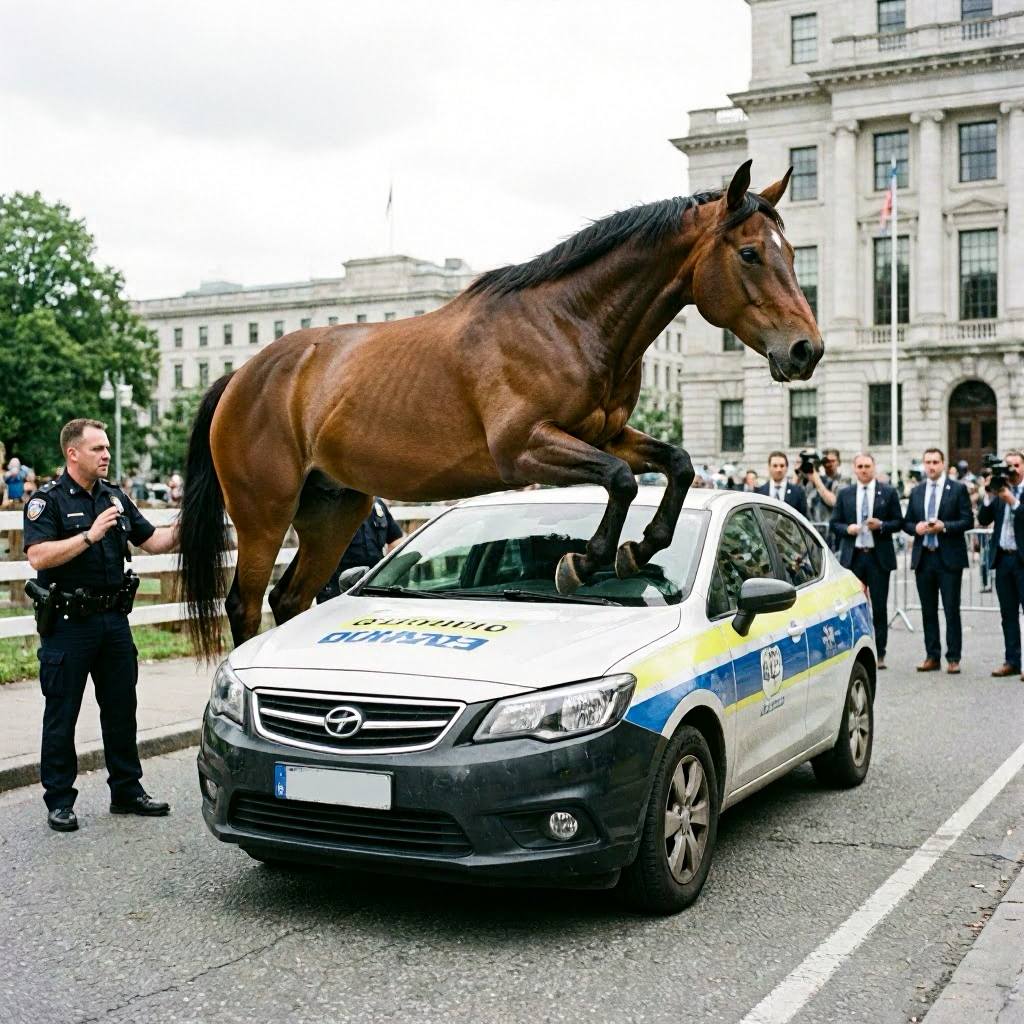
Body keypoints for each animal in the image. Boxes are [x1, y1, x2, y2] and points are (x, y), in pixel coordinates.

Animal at [179, 160, 823, 659]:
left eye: (793, 253)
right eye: (749, 253)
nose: (806, 349)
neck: (568, 321)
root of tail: (244, 374)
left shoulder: (604, 434)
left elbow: (678, 463)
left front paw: (636, 548)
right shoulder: (524, 449)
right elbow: (619, 480)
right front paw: (582, 562)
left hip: (332, 509)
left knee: (288, 596)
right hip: (264, 512)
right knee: (244, 603)